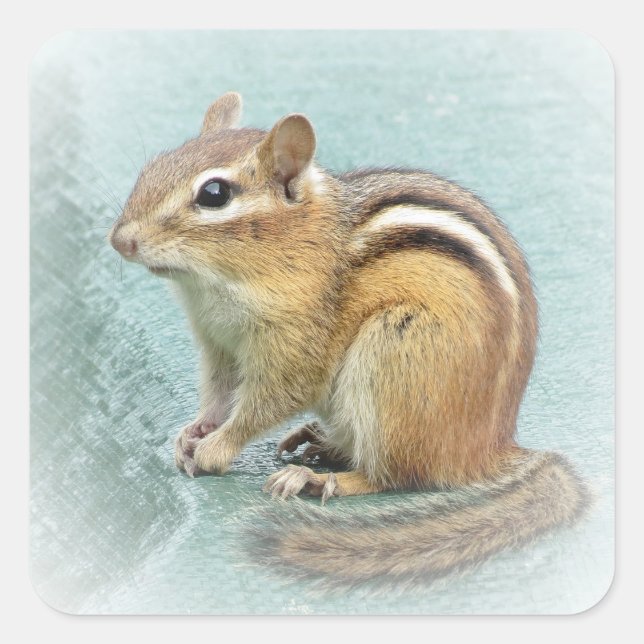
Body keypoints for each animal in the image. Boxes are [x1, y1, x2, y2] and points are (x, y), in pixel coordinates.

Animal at [109, 92, 590, 588]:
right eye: (156, 165)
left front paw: (215, 449)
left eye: (214, 194)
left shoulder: (298, 345)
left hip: (394, 351)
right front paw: (193, 432)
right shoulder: (218, 344)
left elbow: (270, 401)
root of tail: (488, 449)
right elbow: (219, 394)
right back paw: (321, 445)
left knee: (396, 477)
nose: (120, 240)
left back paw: (319, 479)